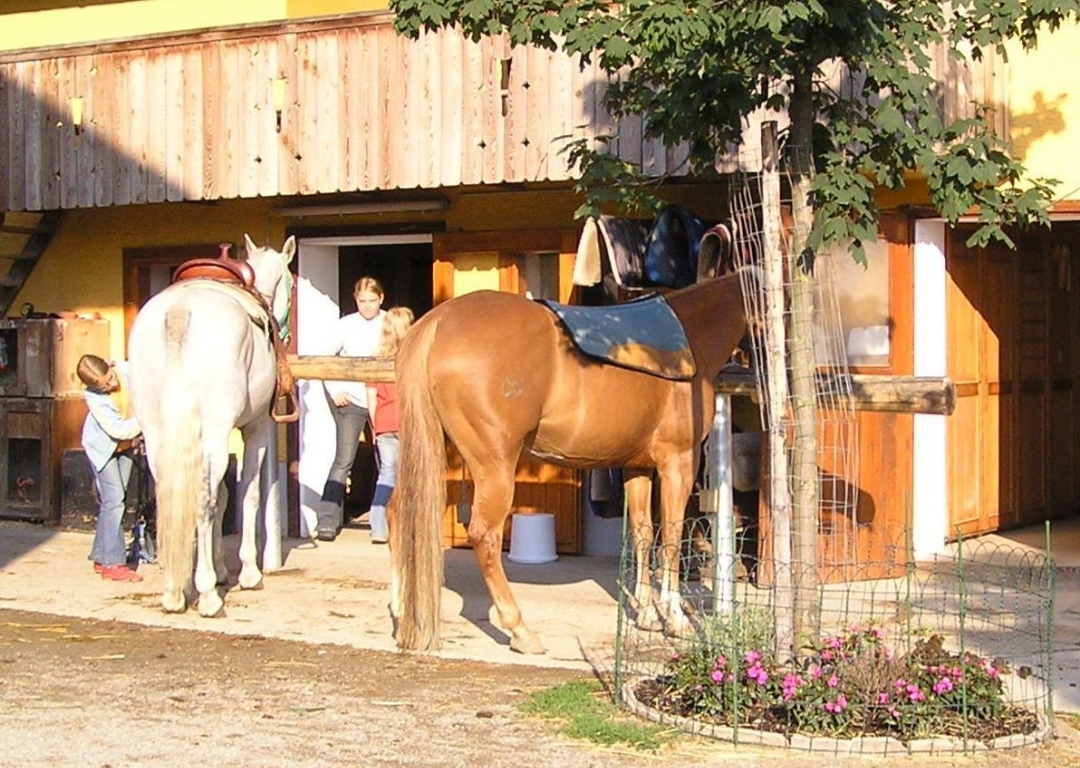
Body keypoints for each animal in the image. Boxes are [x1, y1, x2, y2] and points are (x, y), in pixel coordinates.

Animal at [127, 234, 296, 617]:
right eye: (292, 286)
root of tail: (179, 313)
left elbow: (223, 498)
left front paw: (219, 569)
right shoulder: (254, 429)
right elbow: (246, 494)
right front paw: (247, 572)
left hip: (158, 433)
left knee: (175, 493)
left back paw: (175, 590)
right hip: (216, 429)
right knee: (202, 499)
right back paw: (205, 595)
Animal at [389, 269, 753, 654]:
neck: (691, 339)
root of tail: (438, 322)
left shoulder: (637, 467)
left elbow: (642, 534)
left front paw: (648, 615)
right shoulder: (678, 462)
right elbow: (671, 535)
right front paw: (676, 619)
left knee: (398, 513)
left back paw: (400, 612)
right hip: (495, 466)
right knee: (484, 536)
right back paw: (521, 631)